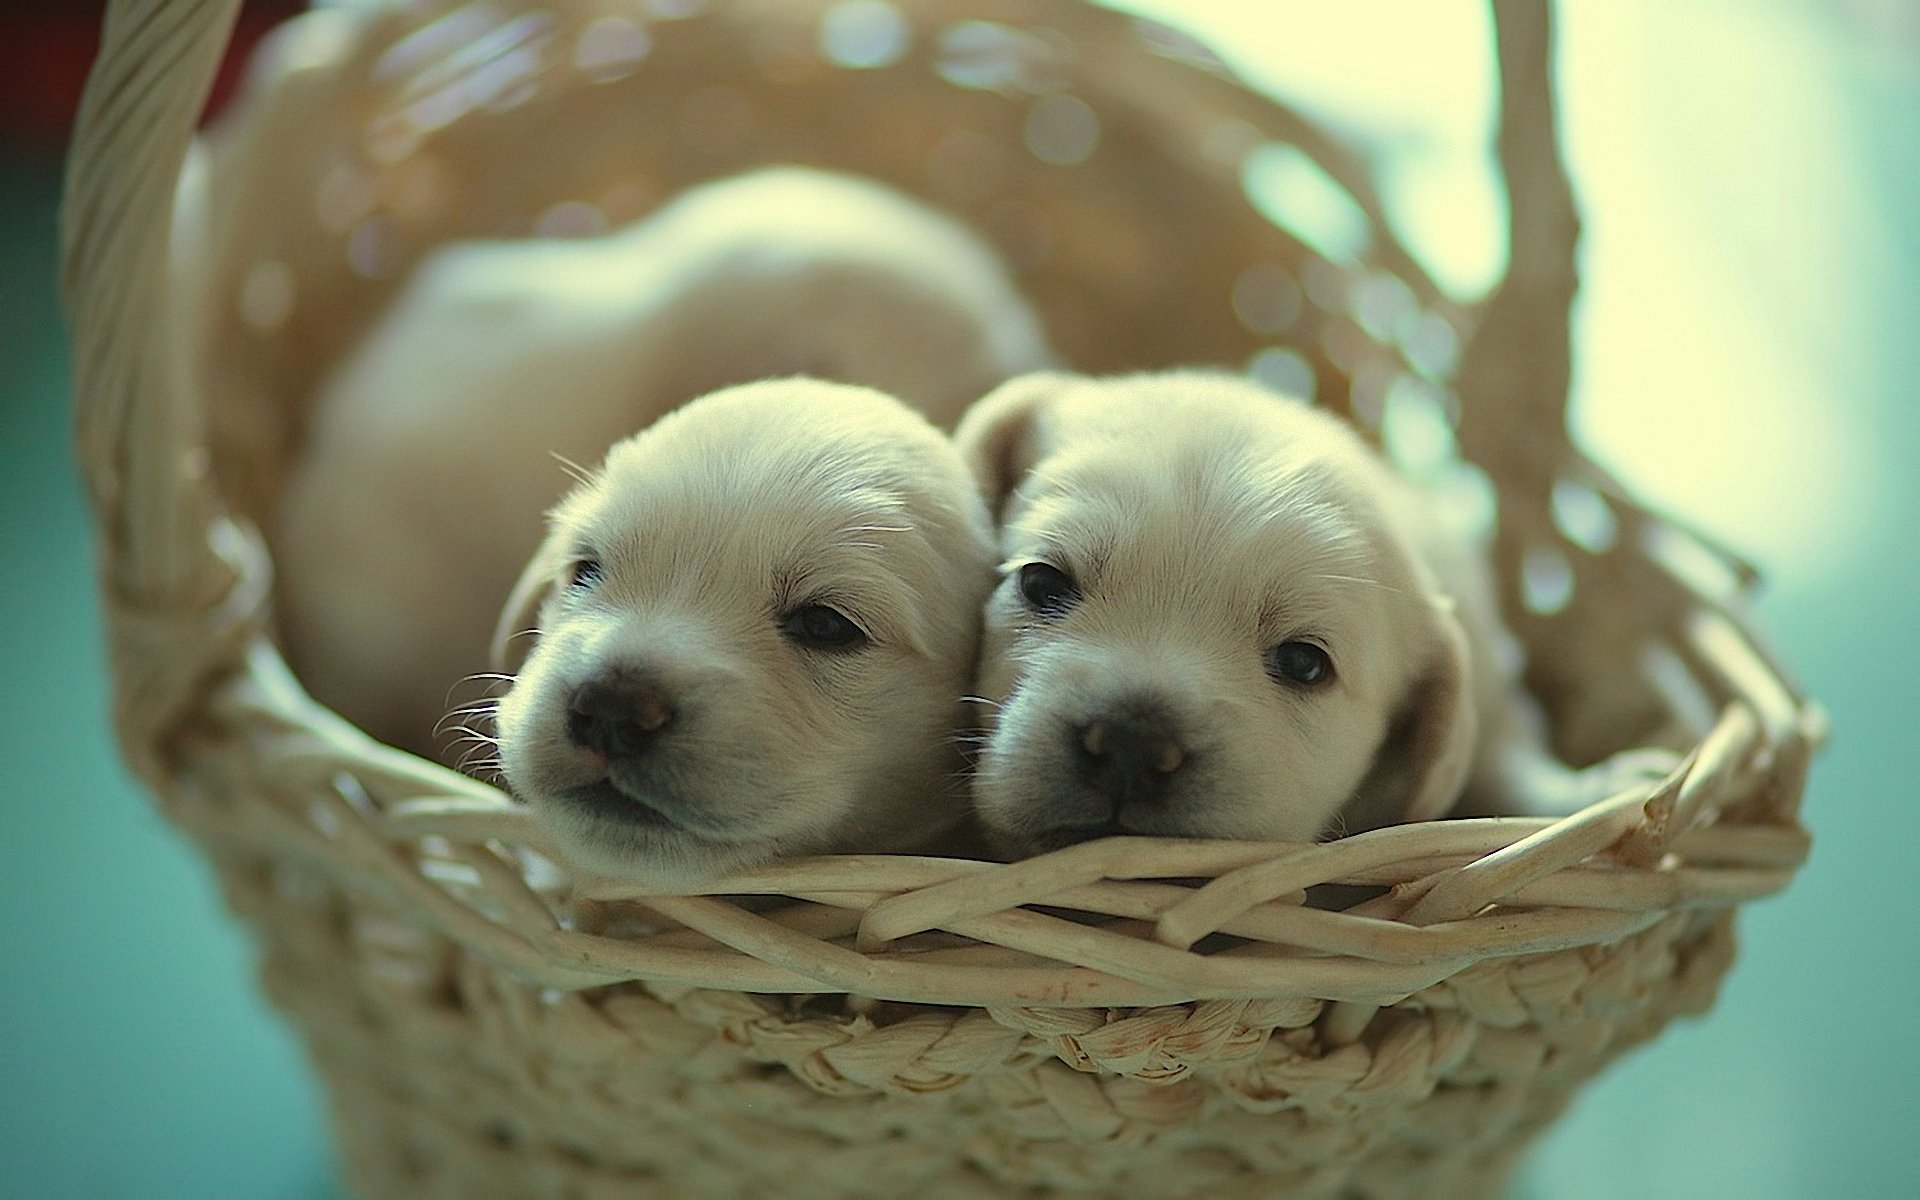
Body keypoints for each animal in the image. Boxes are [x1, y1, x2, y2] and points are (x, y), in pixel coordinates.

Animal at [960, 366, 1666, 852]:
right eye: (1043, 583)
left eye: (1305, 663)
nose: (1133, 743)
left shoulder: (1488, 692)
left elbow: (1506, 759)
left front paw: (1602, 788)